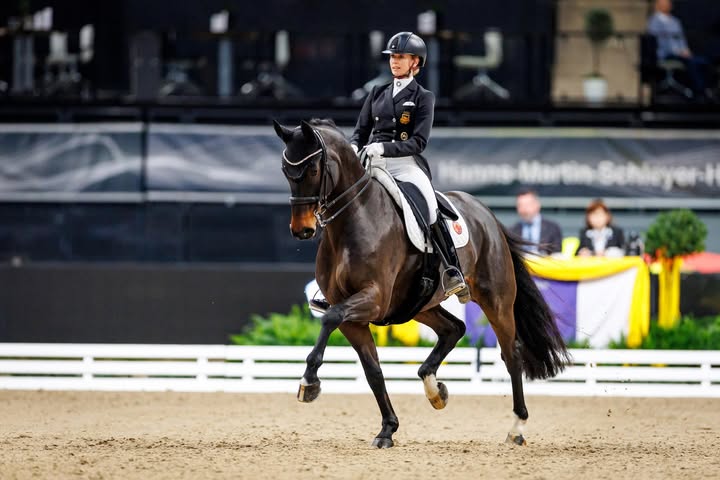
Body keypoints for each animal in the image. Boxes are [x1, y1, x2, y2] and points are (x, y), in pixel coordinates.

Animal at [273, 118, 569, 448]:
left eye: (313, 170)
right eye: (286, 171)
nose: (302, 230)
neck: (352, 221)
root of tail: (486, 213)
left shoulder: (373, 299)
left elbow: (330, 319)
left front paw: (308, 382)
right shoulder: (353, 315)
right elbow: (372, 370)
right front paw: (387, 429)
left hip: (496, 300)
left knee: (511, 353)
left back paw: (516, 427)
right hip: (419, 304)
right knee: (454, 329)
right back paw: (435, 389)